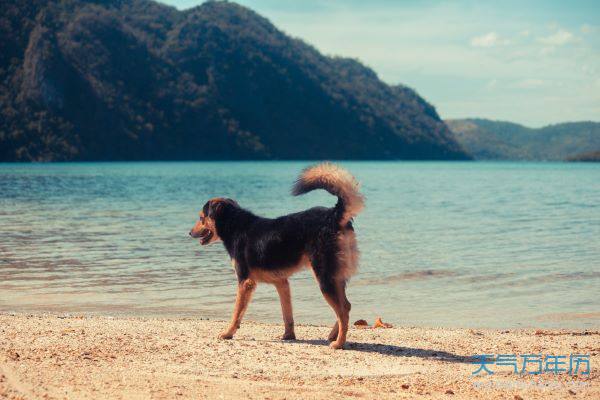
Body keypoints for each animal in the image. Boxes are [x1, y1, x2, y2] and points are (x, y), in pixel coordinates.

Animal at [190, 164, 364, 348]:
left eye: (201, 218)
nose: (189, 233)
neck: (235, 226)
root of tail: (334, 215)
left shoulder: (245, 283)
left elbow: (236, 313)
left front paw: (228, 333)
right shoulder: (281, 282)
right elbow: (287, 314)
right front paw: (289, 335)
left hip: (325, 278)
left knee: (343, 311)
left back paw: (339, 343)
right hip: (336, 277)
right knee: (346, 306)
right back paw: (333, 336)